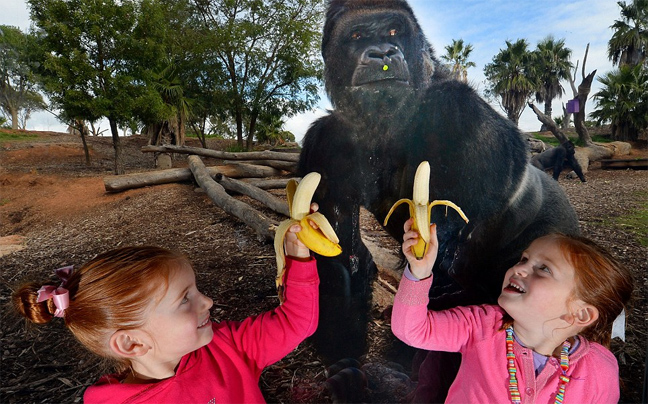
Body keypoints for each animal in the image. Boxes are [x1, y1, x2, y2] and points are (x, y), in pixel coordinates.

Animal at [298, 0, 576, 372]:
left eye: (393, 31)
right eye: (356, 36)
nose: (383, 52)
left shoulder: (457, 110)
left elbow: (443, 266)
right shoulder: (327, 142)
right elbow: (344, 257)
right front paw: (345, 358)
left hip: (557, 233)